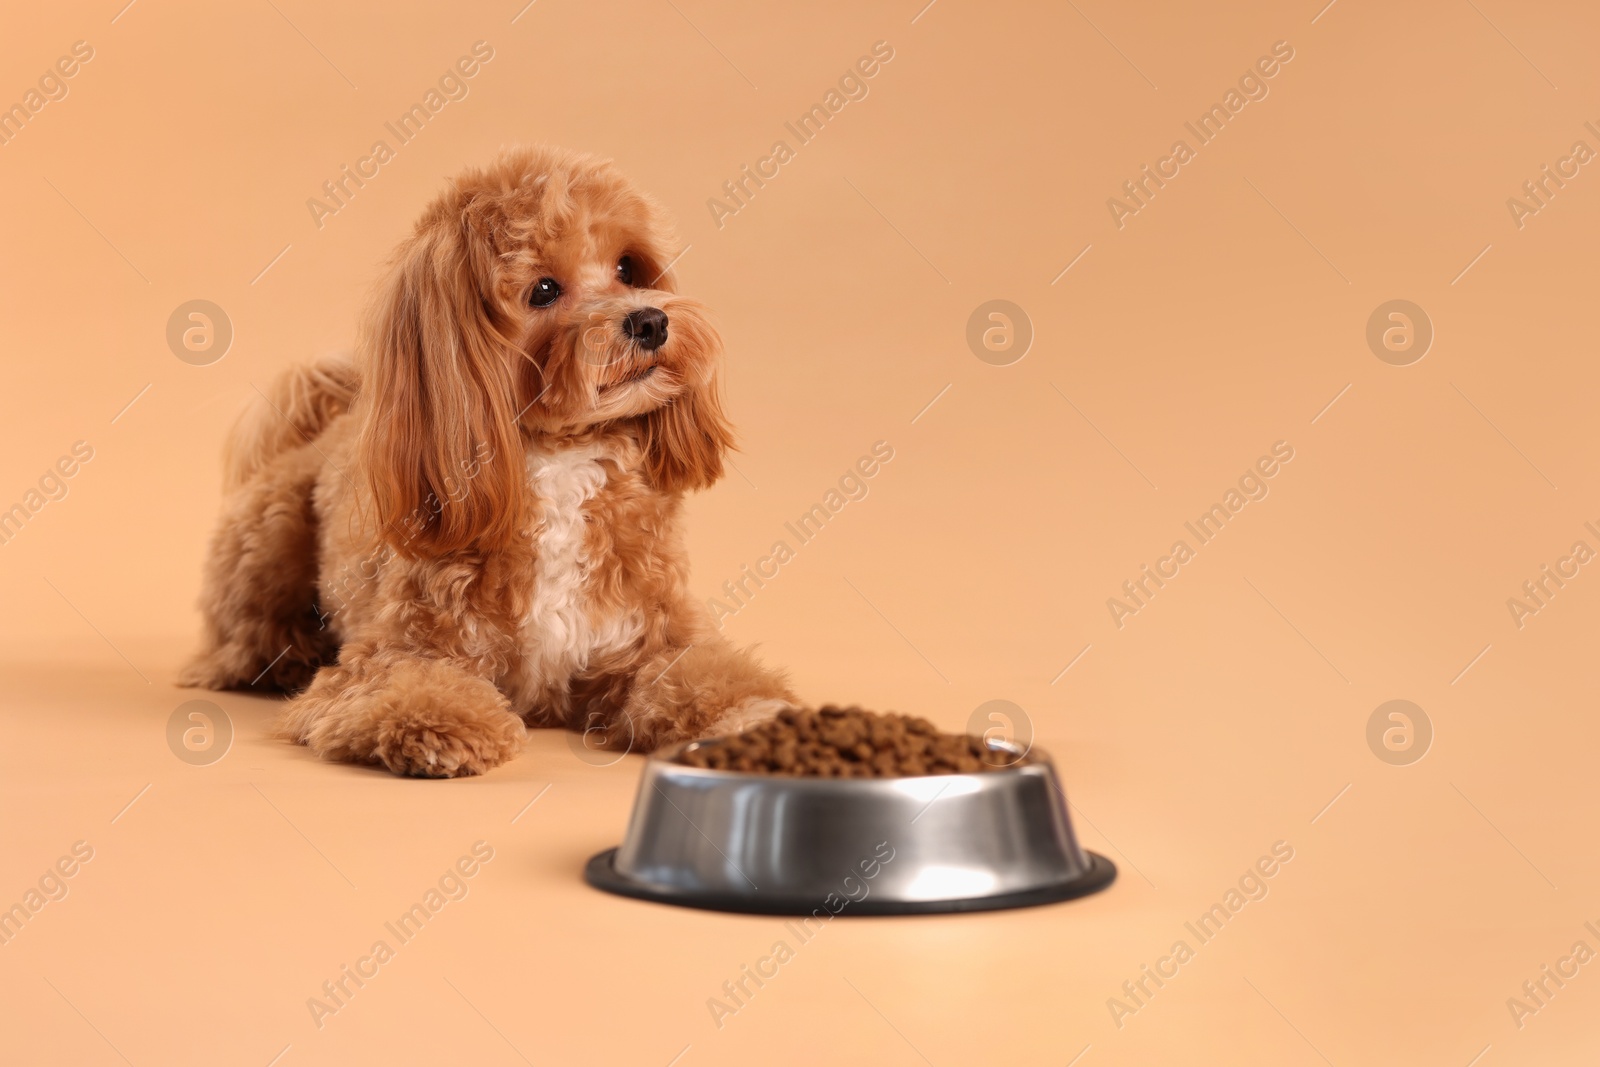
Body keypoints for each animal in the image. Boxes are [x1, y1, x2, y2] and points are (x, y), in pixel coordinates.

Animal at [180, 143, 793, 777]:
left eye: (628, 267)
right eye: (543, 290)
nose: (650, 321)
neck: (562, 459)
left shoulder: (653, 637)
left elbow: (702, 674)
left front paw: (754, 717)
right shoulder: (398, 650)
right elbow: (408, 681)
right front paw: (435, 726)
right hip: (268, 539)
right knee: (242, 635)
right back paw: (282, 656)